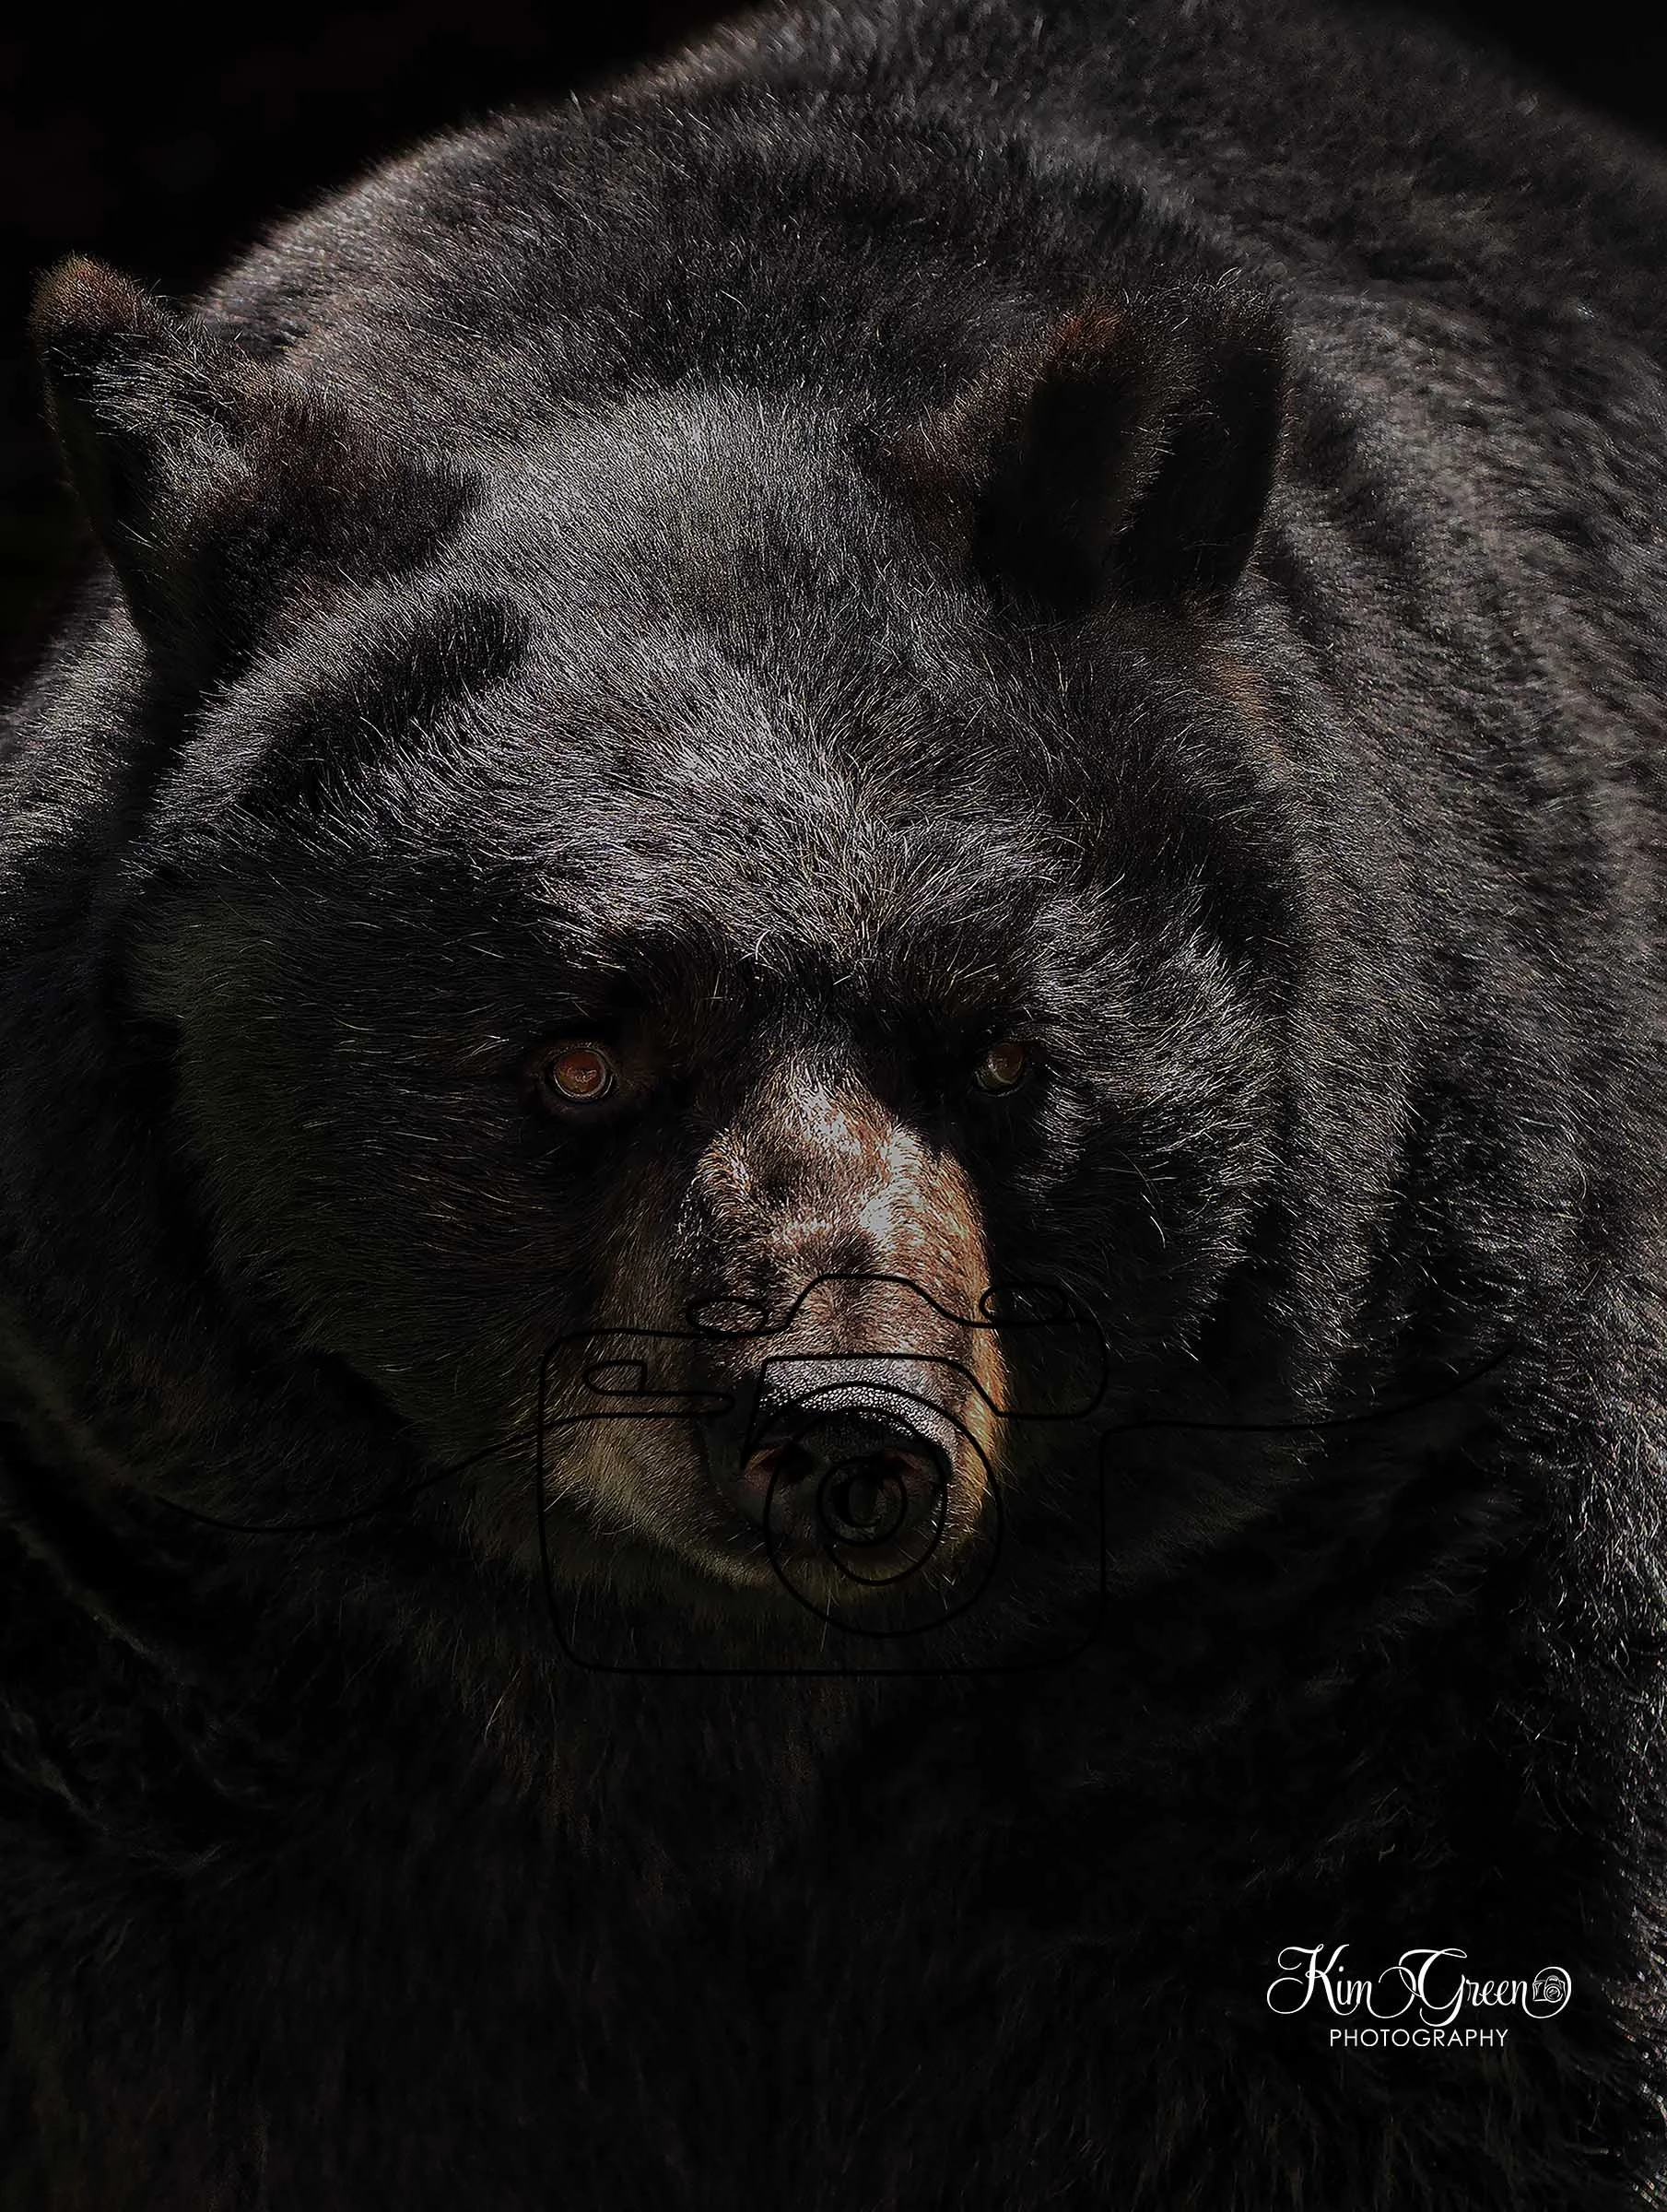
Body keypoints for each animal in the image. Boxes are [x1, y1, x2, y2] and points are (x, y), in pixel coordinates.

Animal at [4, 0, 1667, 2203]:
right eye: (581, 1051)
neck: (712, 1702)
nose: (851, 1428)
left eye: (1004, 1050)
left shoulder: (1383, 1546)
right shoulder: (159, 1589)